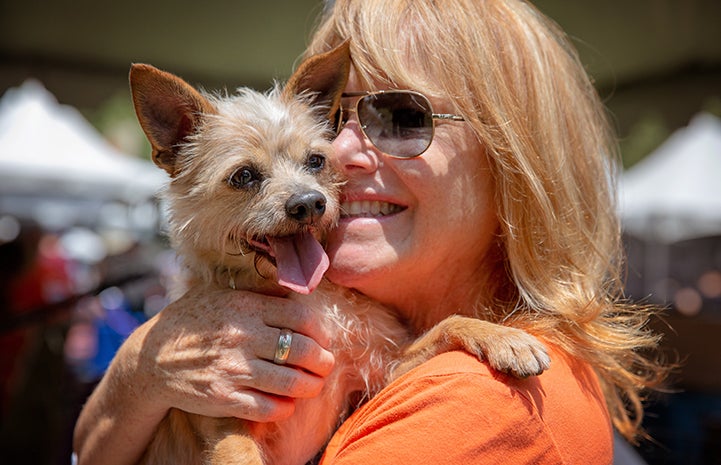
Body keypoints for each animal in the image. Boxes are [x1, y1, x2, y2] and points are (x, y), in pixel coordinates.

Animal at [129, 42, 548, 464]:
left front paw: (502, 336)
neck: (309, 297)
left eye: (316, 161)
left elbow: (446, 325)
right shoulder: (226, 417)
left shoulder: (380, 373)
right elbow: (241, 454)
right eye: (243, 176)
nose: (309, 203)